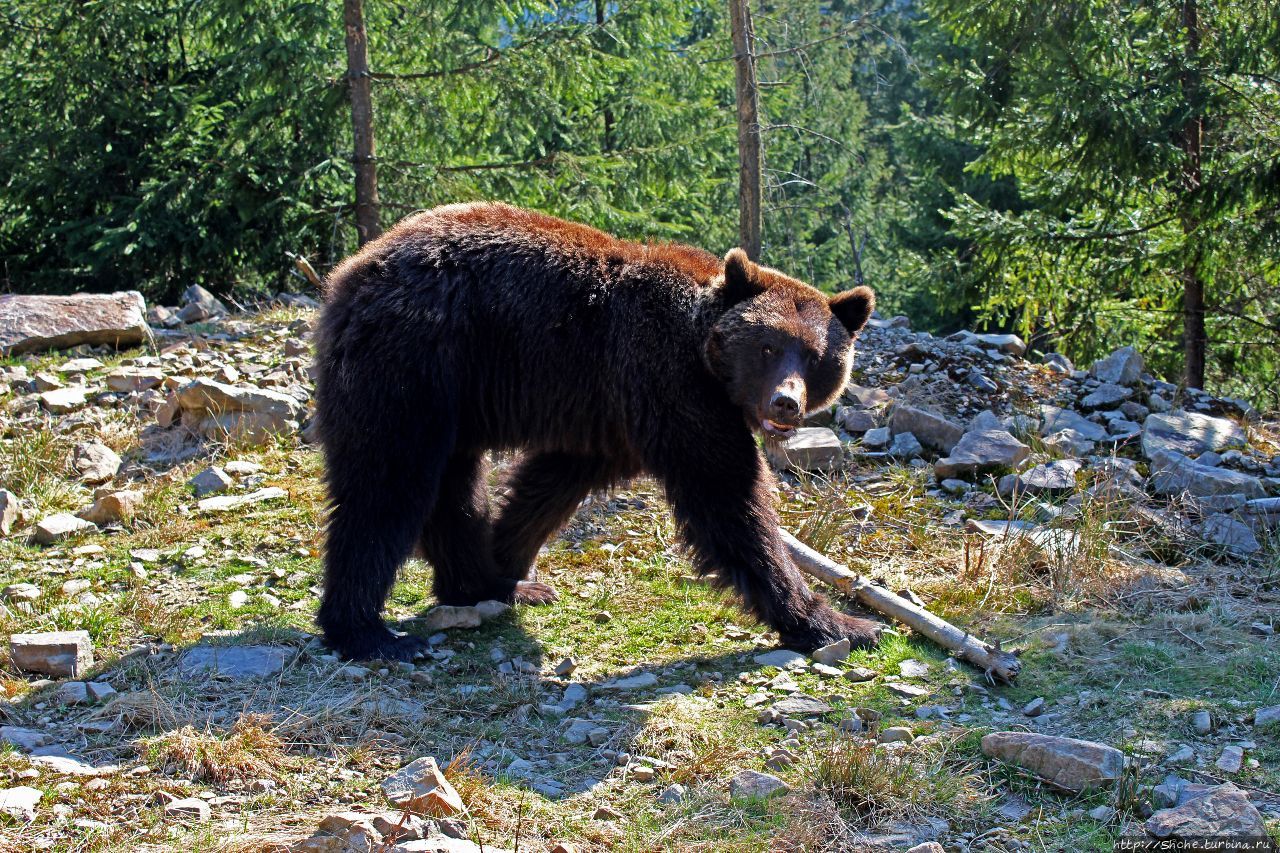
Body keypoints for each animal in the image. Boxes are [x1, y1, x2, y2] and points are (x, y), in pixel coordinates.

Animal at [314, 202, 885, 660]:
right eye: (768, 346)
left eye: (815, 357)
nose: (786, 402)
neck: (703, 354)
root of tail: (351, 271)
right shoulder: (664, 379)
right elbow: (727, 497)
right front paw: (840, 622)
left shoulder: (609, 413)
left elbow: (551, 483)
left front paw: (508, 562)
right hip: (414, 364)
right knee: (386, 484)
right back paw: (366, 632)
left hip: (454, 397)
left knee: (452, 486)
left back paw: (475, 584)